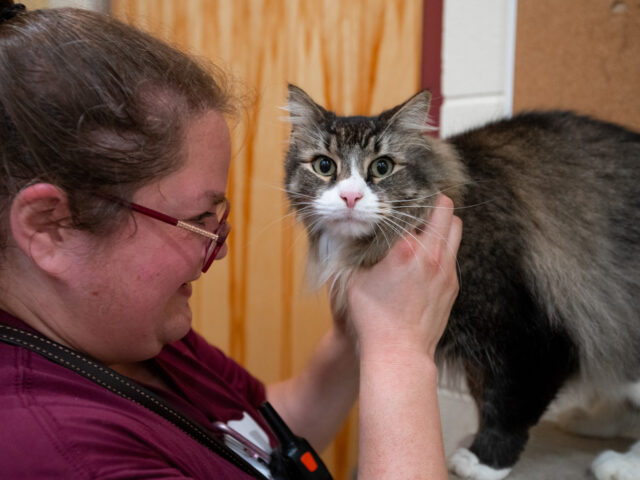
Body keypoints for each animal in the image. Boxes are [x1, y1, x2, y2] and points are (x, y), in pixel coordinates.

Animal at [284, 84, 640, 478]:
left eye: (382, 167)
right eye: (324, 165)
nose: (350, 196)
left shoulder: (530, 336)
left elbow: (508, 406)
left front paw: (483, 461)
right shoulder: (480, 352)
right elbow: (484, 396)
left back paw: (622, 462)